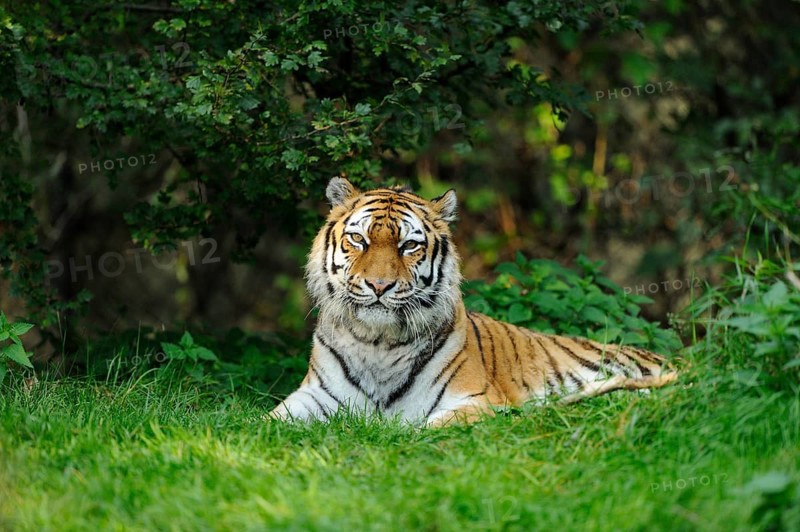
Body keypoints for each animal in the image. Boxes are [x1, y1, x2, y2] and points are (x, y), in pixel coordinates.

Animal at [269, 177, 677, 427]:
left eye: (408, 245)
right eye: (359, 240)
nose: (379, 285)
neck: (378, 342)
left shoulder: (474, 402)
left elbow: (423, 428)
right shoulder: (313, 395)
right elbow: (269, 421)